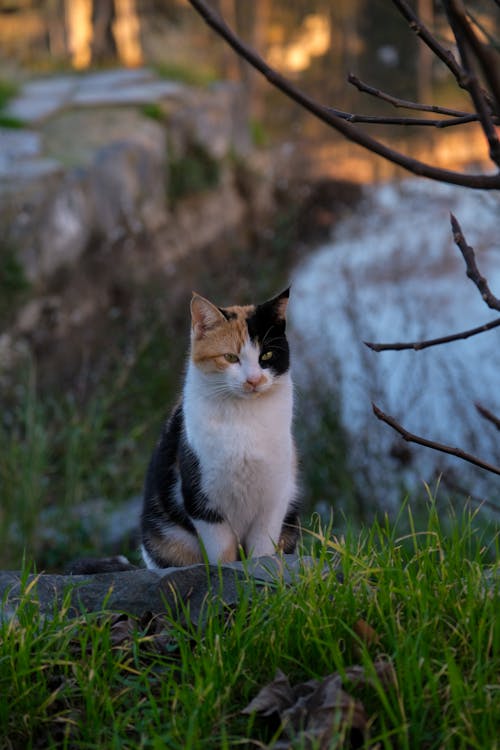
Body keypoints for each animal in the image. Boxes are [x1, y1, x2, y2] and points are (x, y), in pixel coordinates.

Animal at [139, 288, 298, 568]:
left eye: (266, 356)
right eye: (230, 357)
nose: (254, 380)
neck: (244, 420)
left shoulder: (275, 497)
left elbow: (262, 548)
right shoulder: (202, 500)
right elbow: (222, 552)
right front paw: (225, 573)